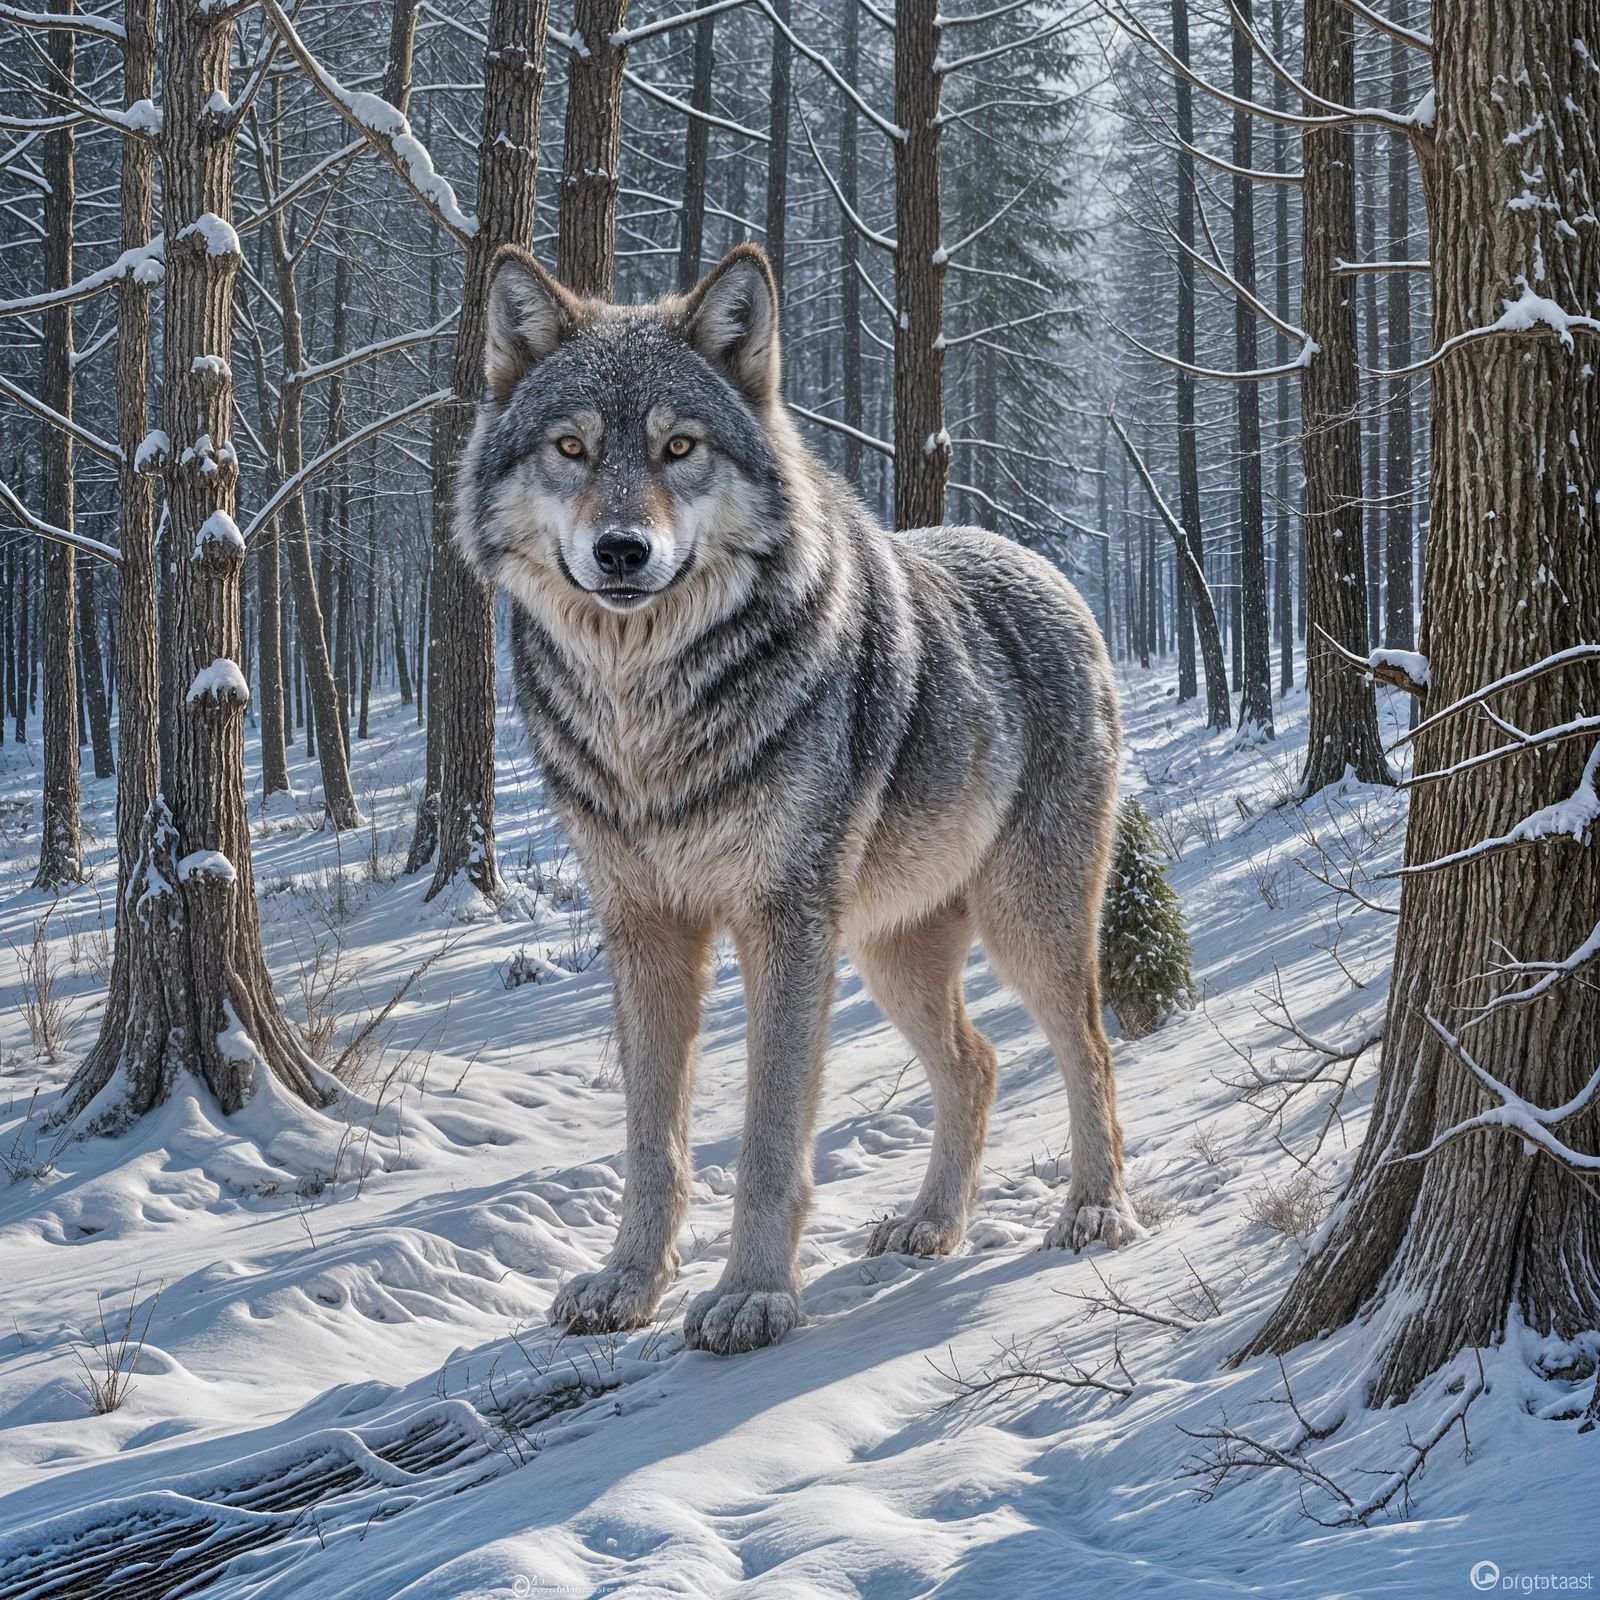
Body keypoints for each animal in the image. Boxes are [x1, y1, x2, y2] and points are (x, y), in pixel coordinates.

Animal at [455, 242, 1140, 1356]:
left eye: (679, 446)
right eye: (571, 447)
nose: (620, 552)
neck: (646, 715)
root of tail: (1035, 559)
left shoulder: (782, 923)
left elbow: (771, 1139)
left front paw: (755, 1297)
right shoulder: (643, 926)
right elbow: (652, 1141)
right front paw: (626, 1283)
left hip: (1020, 924)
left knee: (1087, 1052)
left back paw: (1096, 1209)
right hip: (889, 952)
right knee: (980, 1063)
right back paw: (931, 1224)